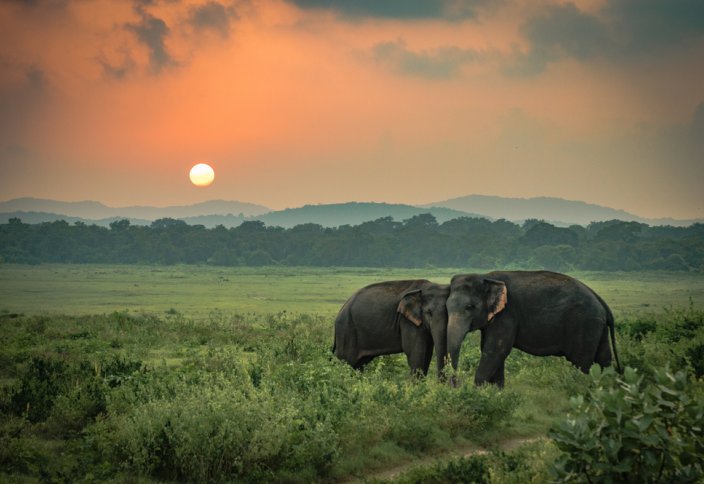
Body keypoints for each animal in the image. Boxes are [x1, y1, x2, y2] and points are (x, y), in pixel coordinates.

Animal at [446, 270, 620, 388]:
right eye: (446, 307)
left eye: (470, 307)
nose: (457, 384)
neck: (486, 276)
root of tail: (601, 302)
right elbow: (492, 351)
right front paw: (496, 393)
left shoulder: (507, 315)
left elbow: (495, 351)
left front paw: (478, 392)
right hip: (597, 326)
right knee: (604, 359)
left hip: (584, 325)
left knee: (581, 362)